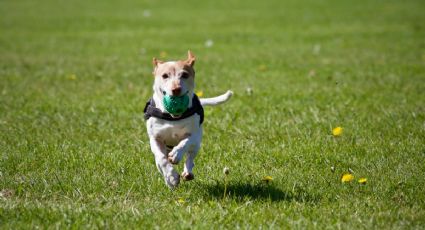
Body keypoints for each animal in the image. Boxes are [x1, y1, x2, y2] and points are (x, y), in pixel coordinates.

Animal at [144, 51, 234, 188]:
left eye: (185, 75)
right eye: (165, 76)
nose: (176, 89)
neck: (173, 117)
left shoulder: (195, 135)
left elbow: (185, 142)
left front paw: (176, 154)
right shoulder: (155, 138)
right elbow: (161, 159)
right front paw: (171, 177)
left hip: (196, 145)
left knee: (190, 158)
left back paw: (187, 172)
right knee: (160, 162)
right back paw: (169, 180)